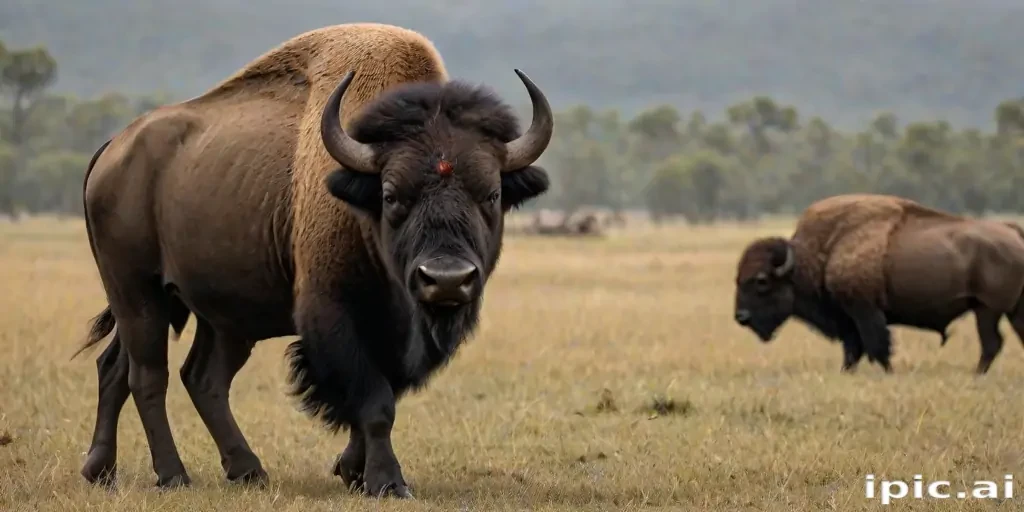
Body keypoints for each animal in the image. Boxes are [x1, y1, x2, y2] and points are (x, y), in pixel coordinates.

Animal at [72, 23, 553, 499]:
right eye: (391, 195)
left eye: (492, 194)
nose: (447, 279)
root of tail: (114, 148)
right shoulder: (333, 314)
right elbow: (375, 402)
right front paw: (387, 481)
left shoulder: (393, 335)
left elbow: (383, 395)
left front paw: (353, 471)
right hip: (138, 292)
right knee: (149, 375)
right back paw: (174, 475)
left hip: (210, 312)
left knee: (175, 375)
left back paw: (160, 470)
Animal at [733, 194, 1024, 374]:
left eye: (761, 281)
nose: (741, 317)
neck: (824, 253)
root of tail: (1013, 232)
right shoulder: (848, 321)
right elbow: (853, 351)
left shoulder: (865, 312)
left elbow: (877, 347)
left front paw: (888, 373)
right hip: (1011, 311)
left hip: (987, 309)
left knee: (991, 343)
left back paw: (976, 375)